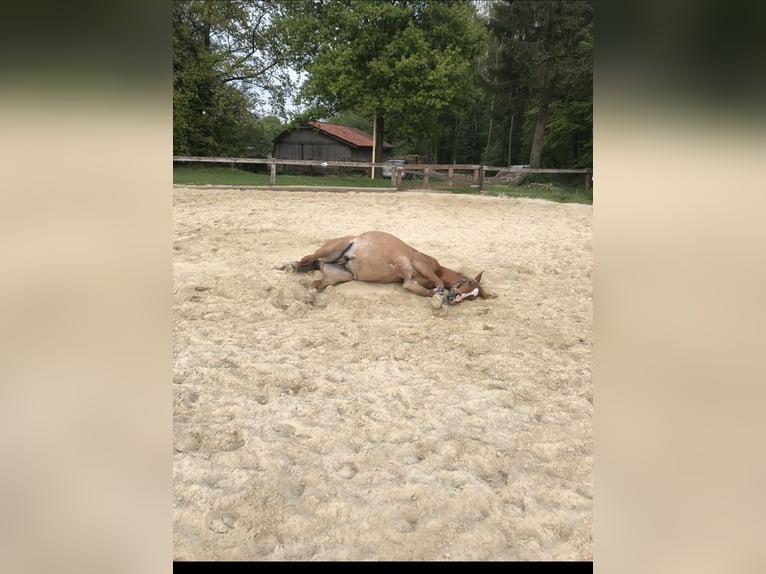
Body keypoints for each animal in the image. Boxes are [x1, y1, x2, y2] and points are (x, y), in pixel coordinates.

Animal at [284, 232, 492, 308]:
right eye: (468, 282)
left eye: (472, 297)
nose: (454, 299)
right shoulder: (422, 264)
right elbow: (438, 284)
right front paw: (440, 295)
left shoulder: (408, 283)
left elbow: (427, 292)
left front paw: (437, 297)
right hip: (331, 249)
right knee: (310, 257)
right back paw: (291, 265)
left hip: (340, 274)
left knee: (316, 280)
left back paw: (310, 296)